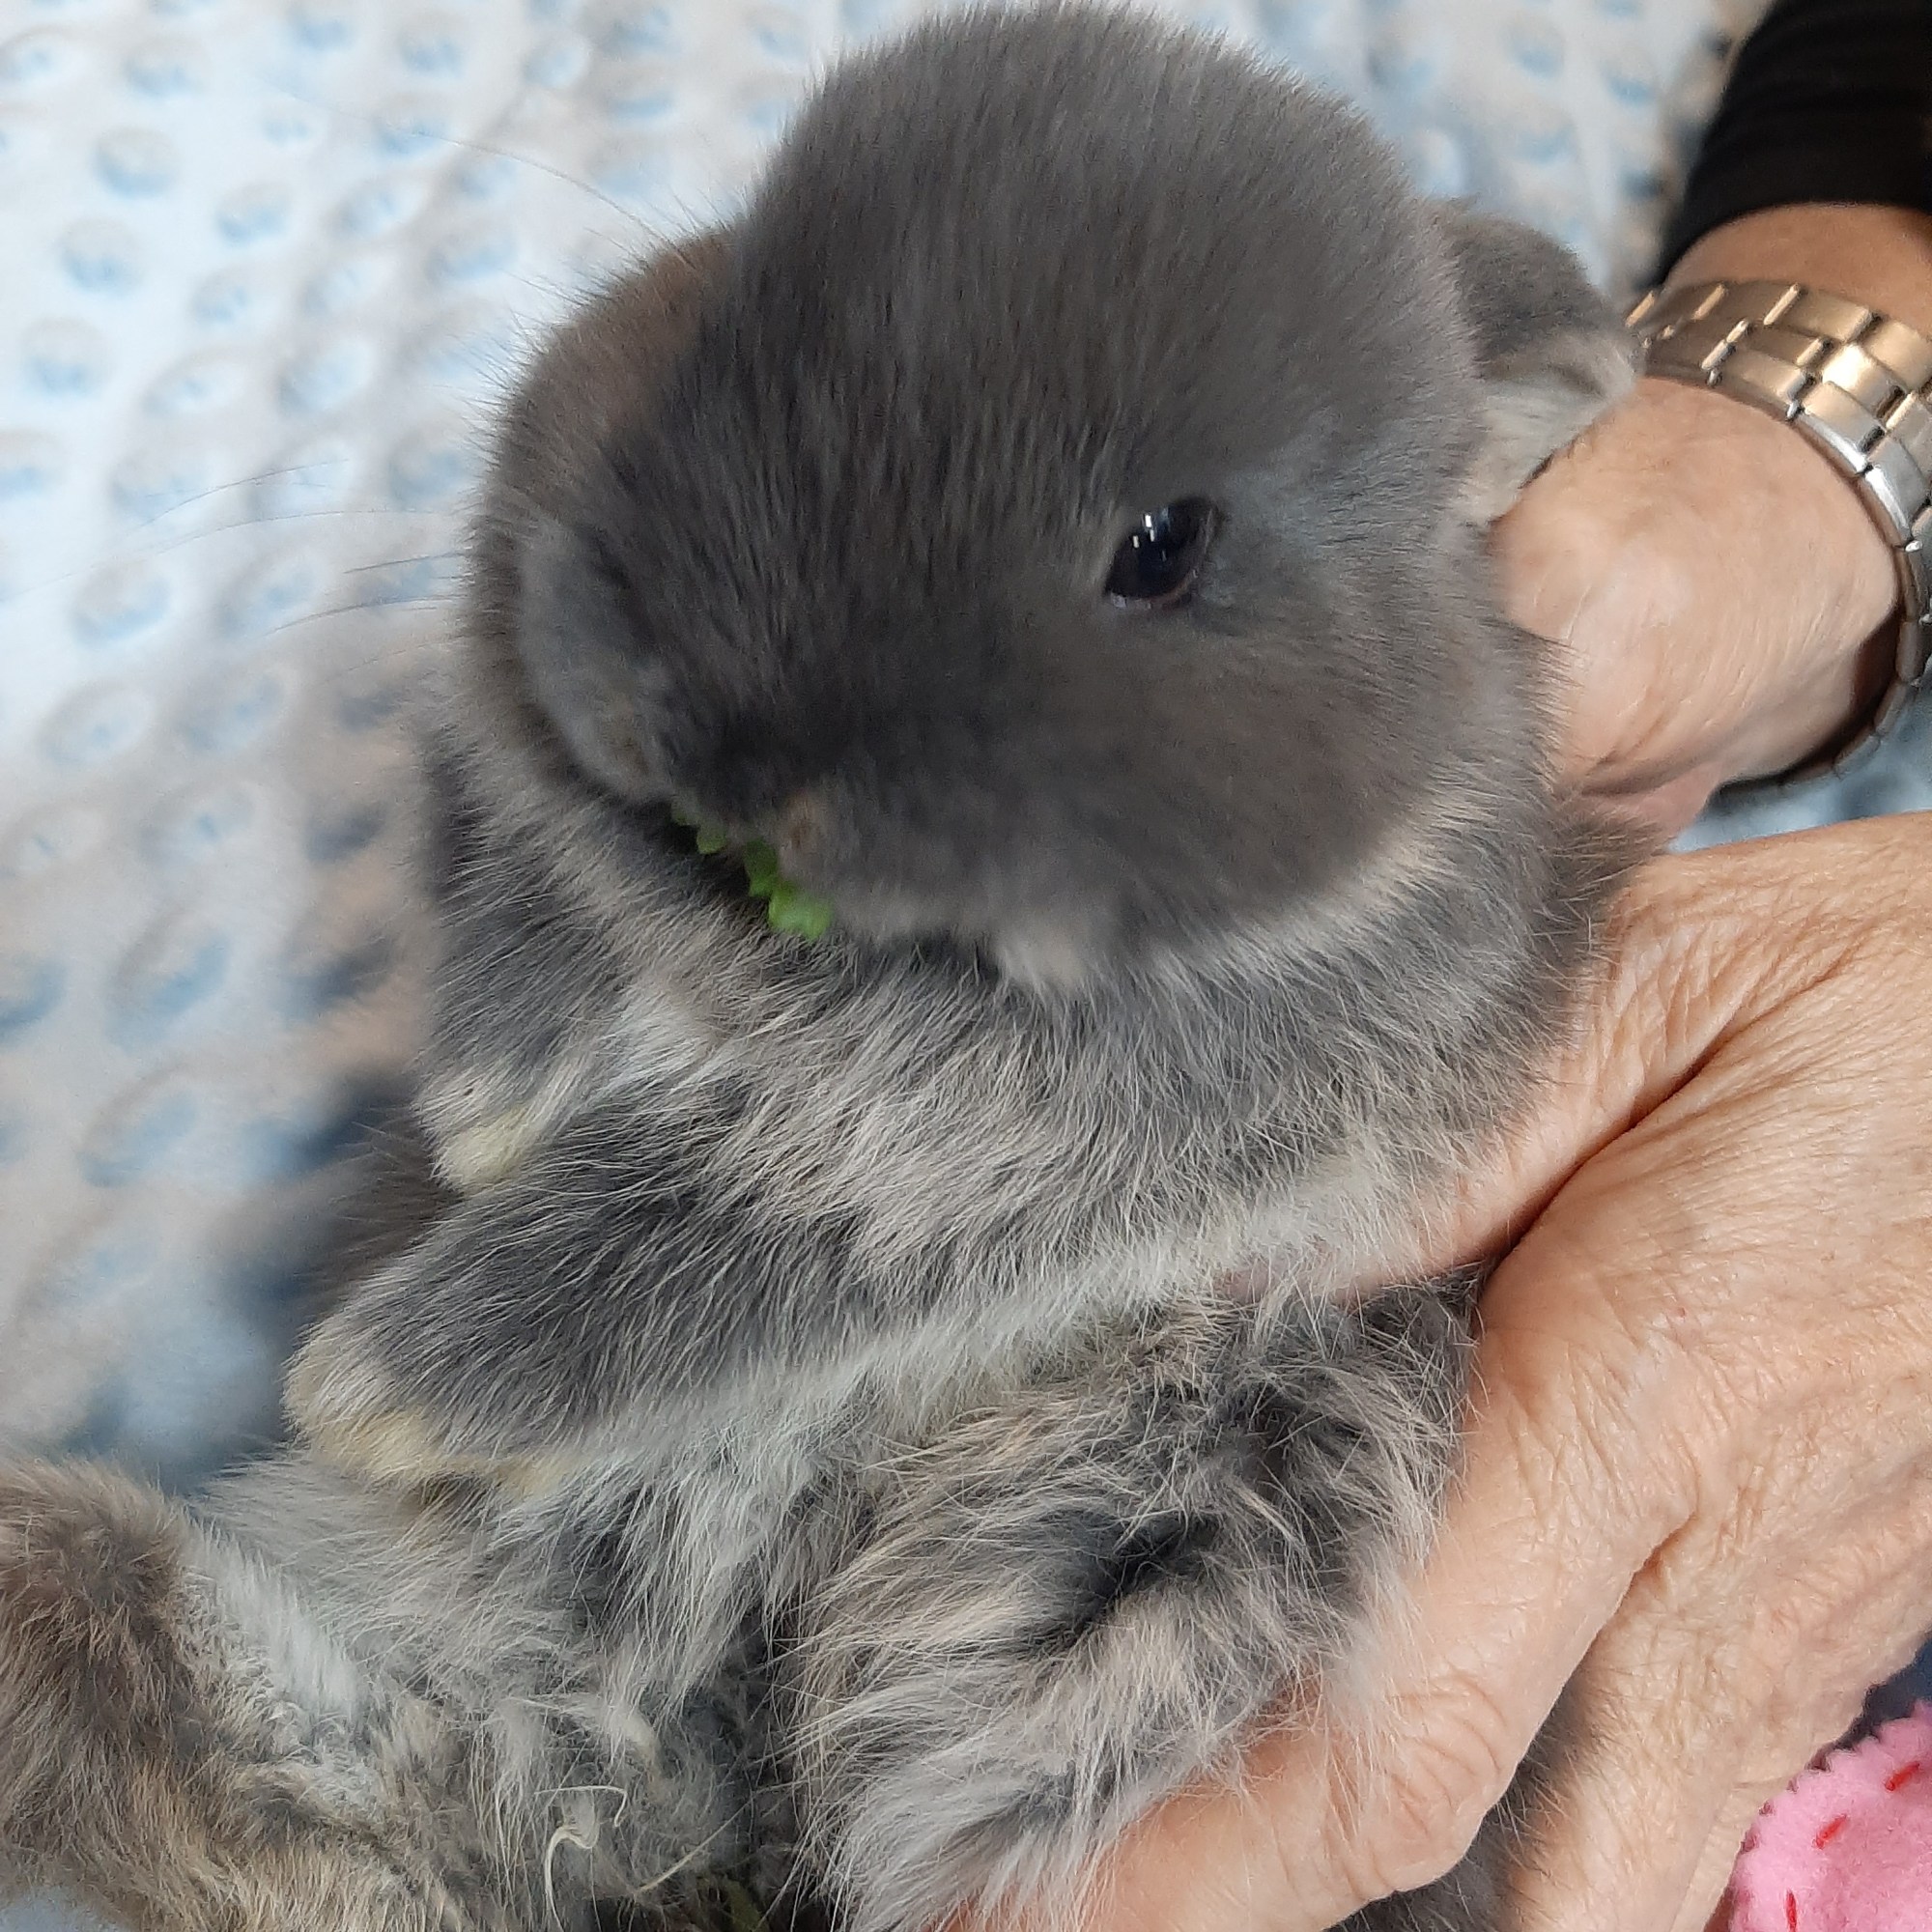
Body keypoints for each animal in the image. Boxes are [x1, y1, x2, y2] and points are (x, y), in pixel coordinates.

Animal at [0, 7, 1641, 1932]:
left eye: (1165, 544)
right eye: (737, 297)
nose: (720, 747)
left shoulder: (1086, 1160)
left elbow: (777, 1228)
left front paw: (402, 1378)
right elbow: (503, 850)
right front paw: (491, 1086)